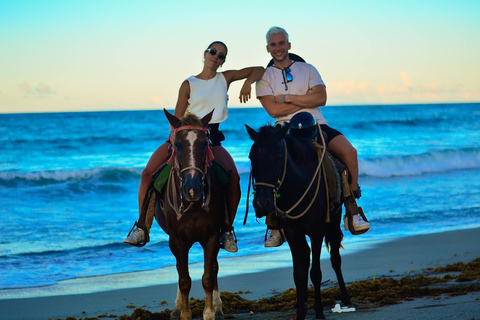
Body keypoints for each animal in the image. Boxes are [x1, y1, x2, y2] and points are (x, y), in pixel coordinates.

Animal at [156, 109, 227, 318]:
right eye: (177, 145)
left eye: (205, 143)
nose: (193, 189)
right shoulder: (177, 239)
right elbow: (184, 279)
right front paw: (185, 314)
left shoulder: (212, 236)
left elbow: (208, 276)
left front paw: (209, 313)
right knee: (180, 269)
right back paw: (177, 307)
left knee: (213, 267)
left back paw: (218, 306)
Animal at [248, 123, 352, 320]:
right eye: (251, 157)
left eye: (278, 156)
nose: (261, 204)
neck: (298, 185)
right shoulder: (292, 231)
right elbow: (299, 272)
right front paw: (301, 311)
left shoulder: (317, 230)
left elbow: (316, 272)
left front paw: (318, 311)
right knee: (305, 257)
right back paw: (301, 300)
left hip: (333, 221)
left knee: (335, 258)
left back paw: (346, 297)